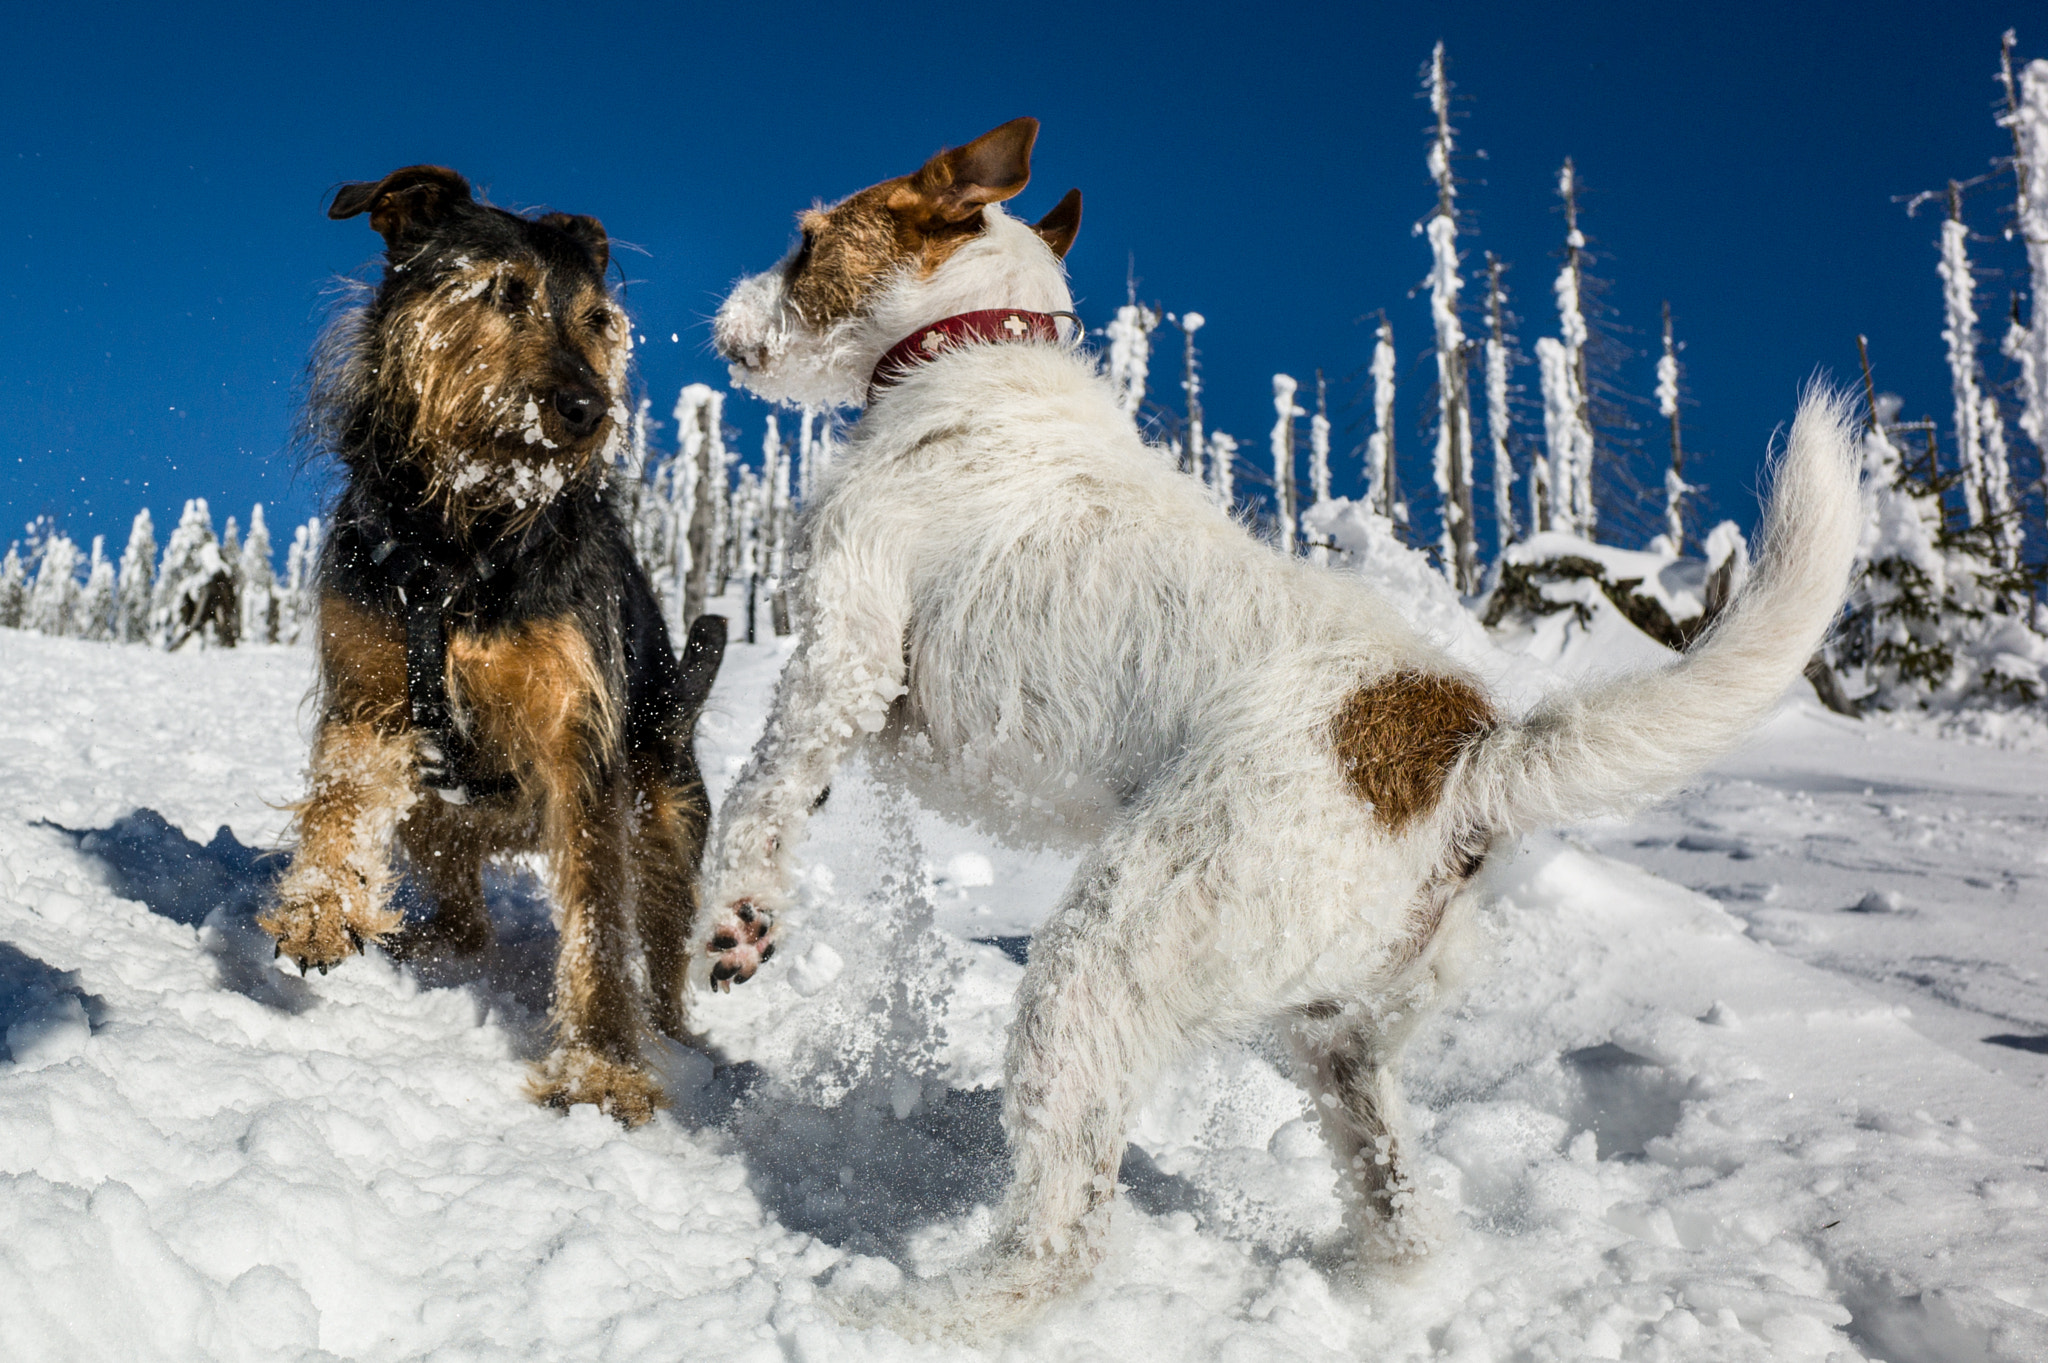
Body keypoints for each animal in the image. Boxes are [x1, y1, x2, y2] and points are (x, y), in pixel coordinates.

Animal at [696, 116, 1867, 1326]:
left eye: (807, 240)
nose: (723, 319)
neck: (965, 350)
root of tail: (1464, 752)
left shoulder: (846, 650)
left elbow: (765, 791)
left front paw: (737, 921)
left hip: (1107, 957)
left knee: (1064, 1233)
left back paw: (910, 1313)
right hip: (1334, 1035)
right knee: (1395, 1197)